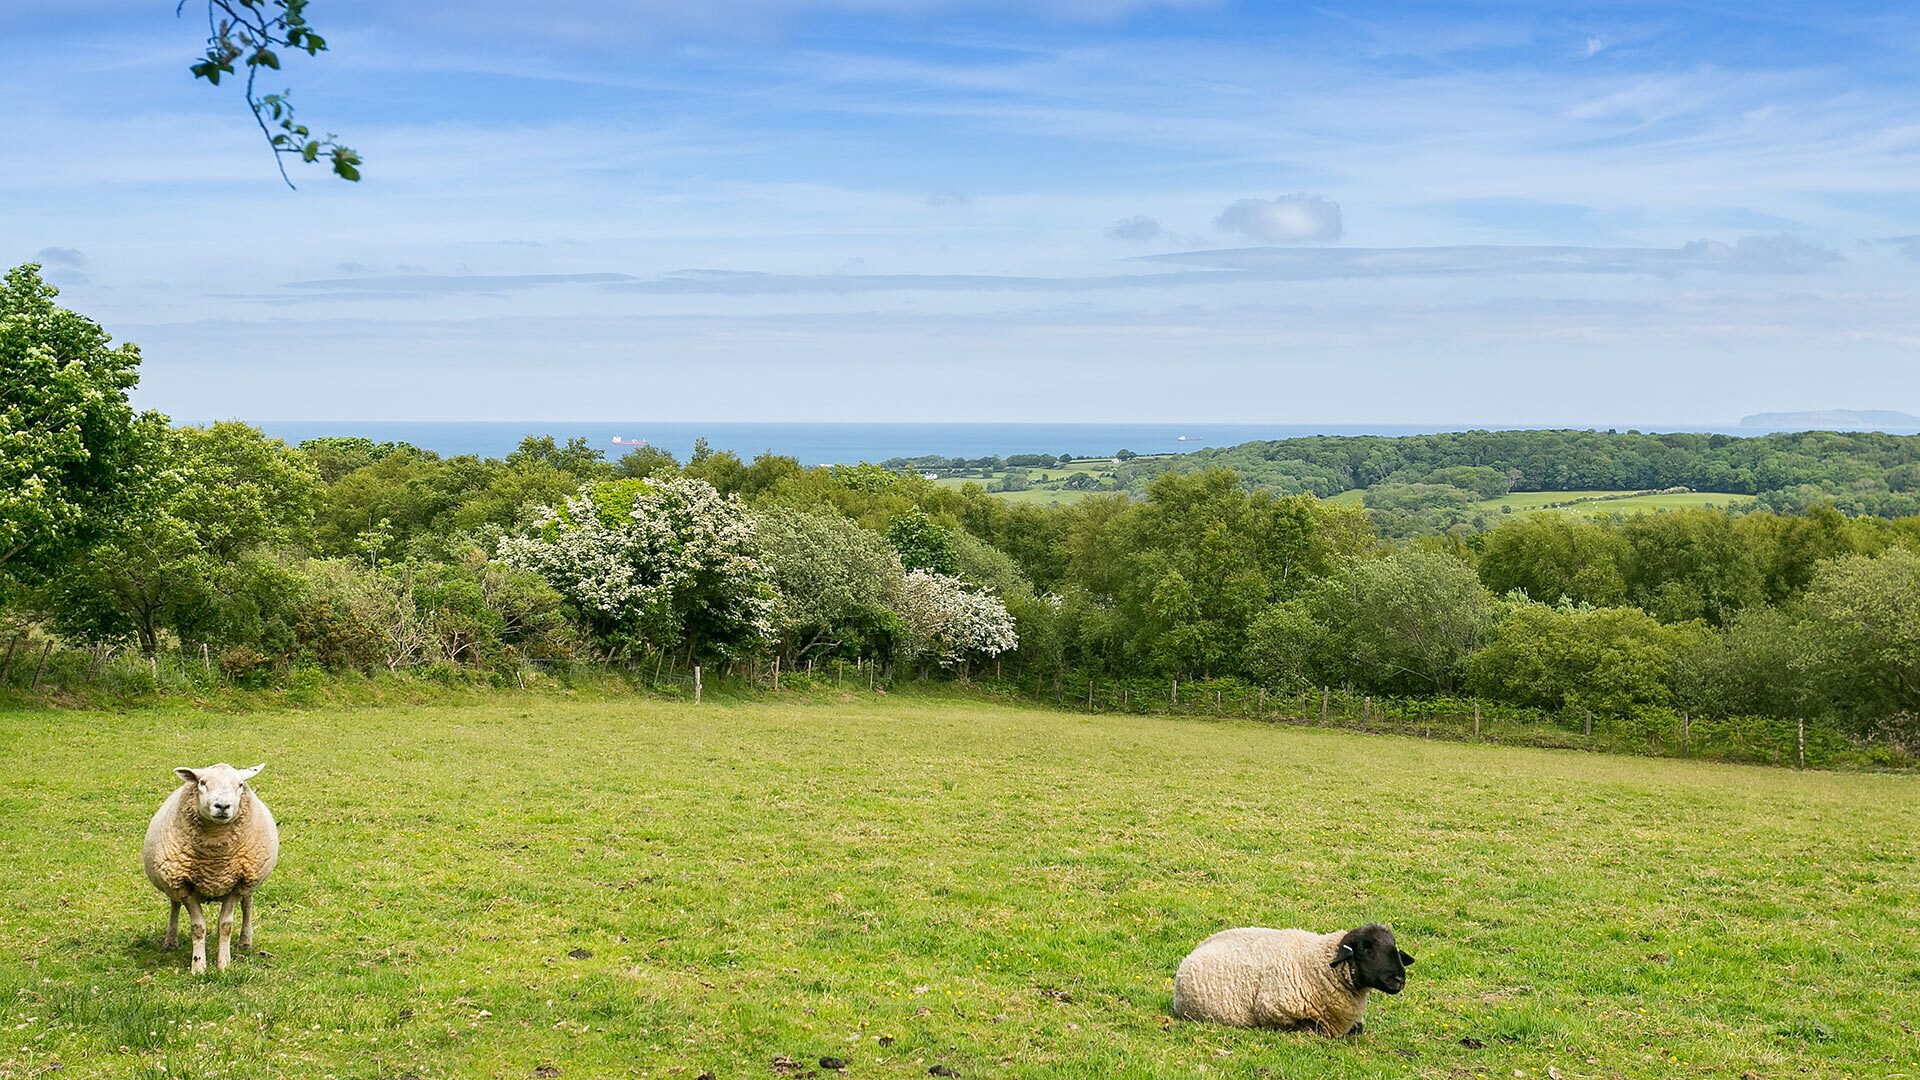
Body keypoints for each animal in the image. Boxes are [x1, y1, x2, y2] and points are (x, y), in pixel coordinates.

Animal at [142, 760, 280, 972]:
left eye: (240, 784)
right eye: (202, 782)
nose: (222, 806)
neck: (214, 861)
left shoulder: (236, 884)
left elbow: (225, 925)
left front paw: (223, 964)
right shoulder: (184, 885)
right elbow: (198, 927)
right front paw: (198, 966)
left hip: (250, 879)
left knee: (247, 905)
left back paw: (245, 941)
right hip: (172, 881)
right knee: (174, 905)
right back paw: (170, 941)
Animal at [1159, 914, 1420, 1037]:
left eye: (1394, 948)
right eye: (1365, 948)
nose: (1399, 979)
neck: (1319, 963)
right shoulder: (1273, 1010)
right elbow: (1314, 1027)